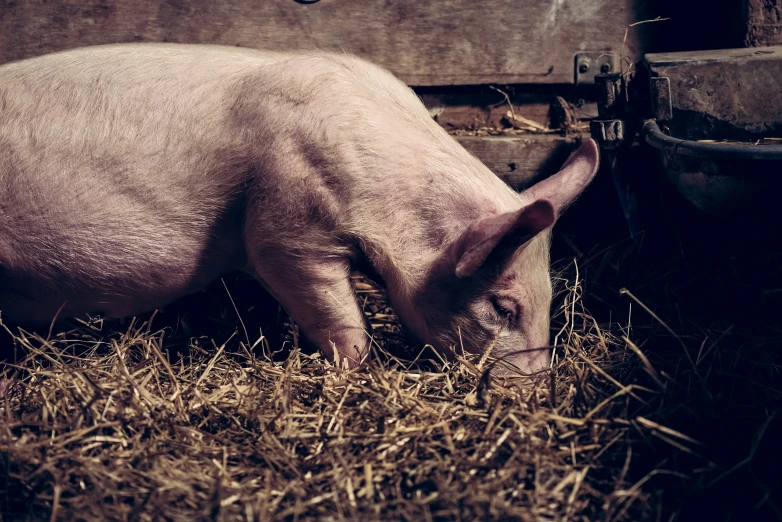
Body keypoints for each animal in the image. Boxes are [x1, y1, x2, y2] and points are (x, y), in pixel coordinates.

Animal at [0, 42, 600, 372]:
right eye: (503, 307)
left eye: (552, 297)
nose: (535, 395)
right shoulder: (287, 227)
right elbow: (334, 313)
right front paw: (357, 370)